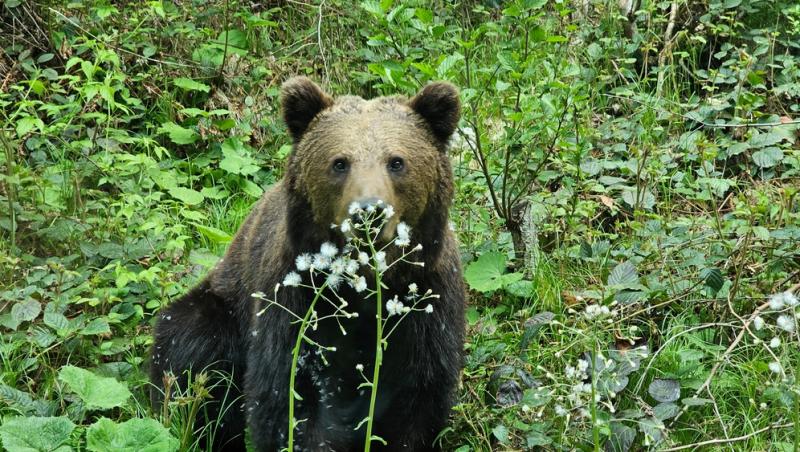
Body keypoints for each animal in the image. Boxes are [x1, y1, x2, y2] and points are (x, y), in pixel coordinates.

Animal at [148, 78, 468, 452]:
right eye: (340, 162)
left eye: (396, 161)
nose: (368, 212)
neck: (364, 285)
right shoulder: (296, 300)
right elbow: (290, 397)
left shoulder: (424, 304)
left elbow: (417, 401)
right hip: (223, 305)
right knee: (190, 352)